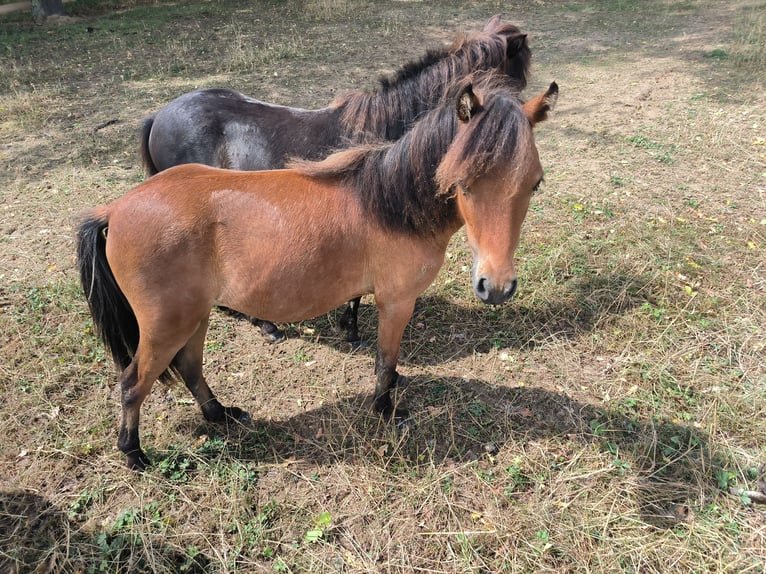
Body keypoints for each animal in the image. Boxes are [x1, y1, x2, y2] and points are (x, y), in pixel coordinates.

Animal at [78, 75, 558, 471]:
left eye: (535, 183)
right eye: (464, 183)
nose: (497, 287)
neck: (390, 204)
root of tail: (115, 209)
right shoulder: (396, 301)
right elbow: (386, 360)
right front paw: (386, 409)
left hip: (195, 316)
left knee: (190, 367)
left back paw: (222, 415)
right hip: (166, 324)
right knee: (133, 382)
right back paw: (134, 454)